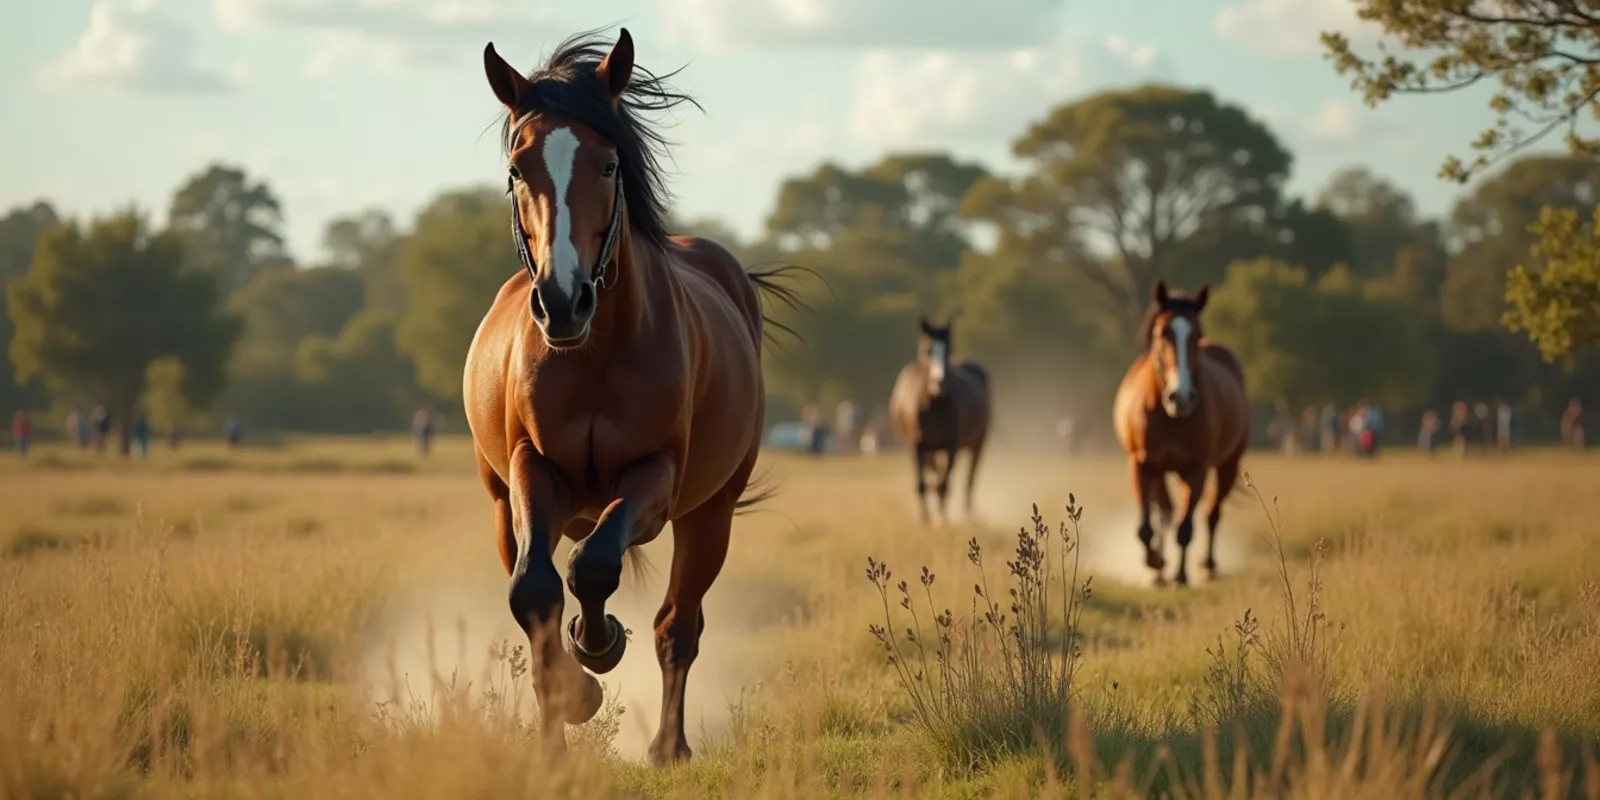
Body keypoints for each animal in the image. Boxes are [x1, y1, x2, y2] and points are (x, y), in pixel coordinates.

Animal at [465, 29, 801, 765]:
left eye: (609, 165)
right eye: (517, 169)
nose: (562, 302)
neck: (593, 355)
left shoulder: (656, 478)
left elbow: (593, 569)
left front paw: (599, 645)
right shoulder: (534, 470)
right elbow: (535, 592)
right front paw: (568, 713)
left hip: (710, 515)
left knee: (678, 624)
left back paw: (668, 746)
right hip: (502, 506)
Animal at [888, 317, 992, 525]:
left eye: (948, 349)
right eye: (927, 350)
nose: (939, 383)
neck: (932, 404)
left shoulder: (950, 445)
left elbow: (943, 484)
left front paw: (943, 519)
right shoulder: (917, 446)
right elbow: (922, 483)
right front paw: (926, 518)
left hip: (977, 444)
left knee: (969, 478)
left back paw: (968, 513)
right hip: (931, 450)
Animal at [1112, 281, 1249, 587]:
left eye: (1197, 333)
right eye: (1163, 332)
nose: (1182, 397)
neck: (1168, 416)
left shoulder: (1196, 469)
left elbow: (1185, 527)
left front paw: (1181, 575)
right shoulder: (1142, 464)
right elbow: (1146, 527)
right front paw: (1155, 562)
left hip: (1228, 465)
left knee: (1211, 513)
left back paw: (1207, 565)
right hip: (1161, 471)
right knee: (1165, 513)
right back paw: (1160, 571)